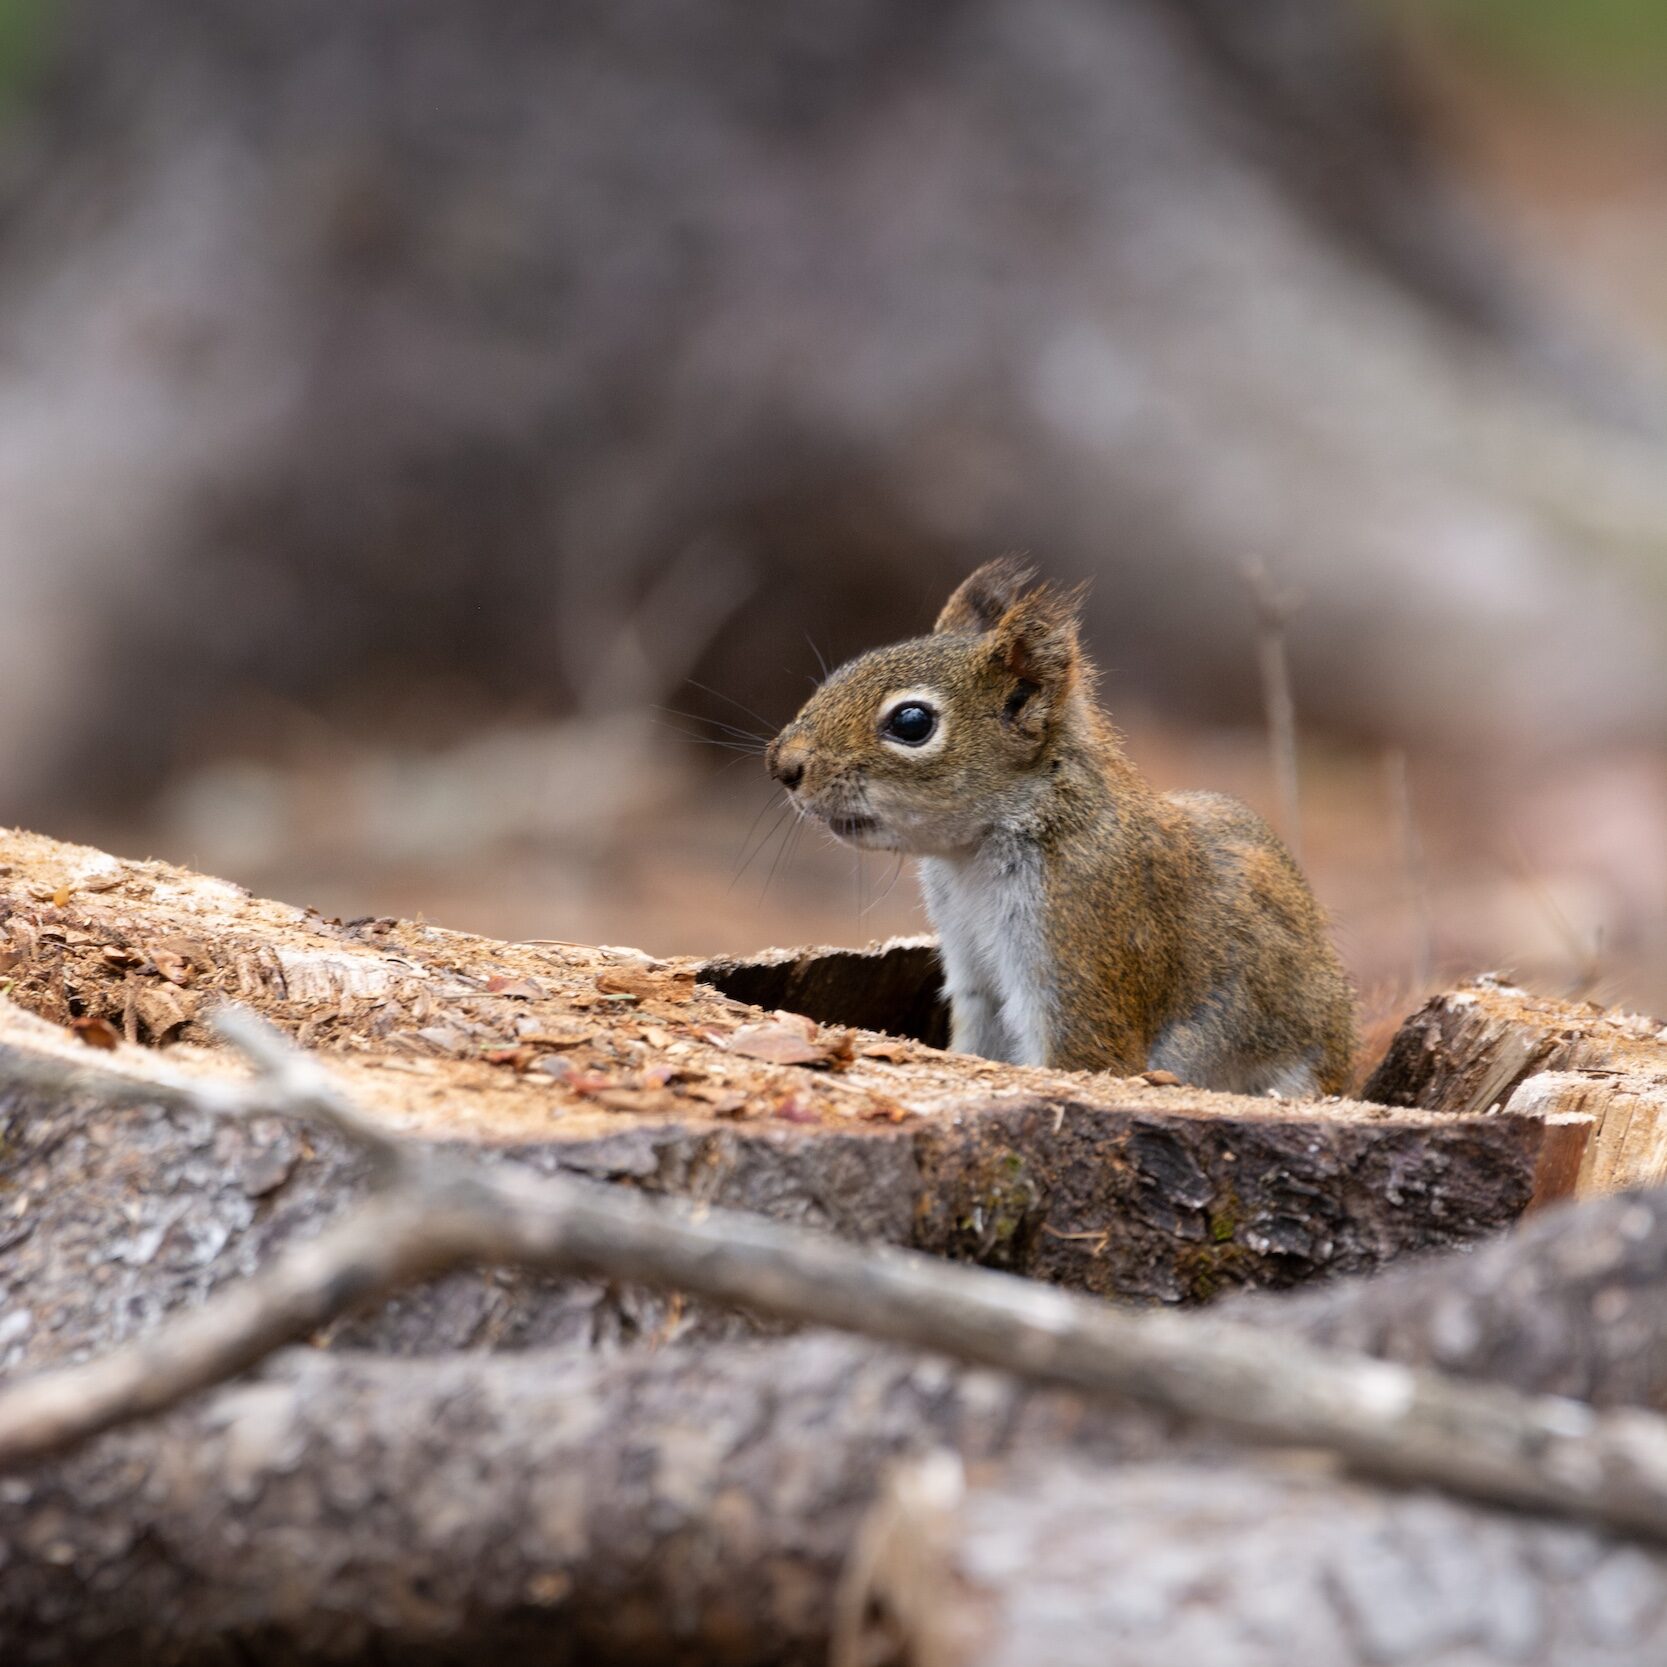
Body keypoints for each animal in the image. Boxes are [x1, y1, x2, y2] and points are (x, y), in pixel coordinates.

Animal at [766, 560, 1353, 1093]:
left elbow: (1084, 1055)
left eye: (912, 723)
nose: (783, 765)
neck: (974, 852)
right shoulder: (973, 972)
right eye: (843, 672)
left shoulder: (1080, 935)